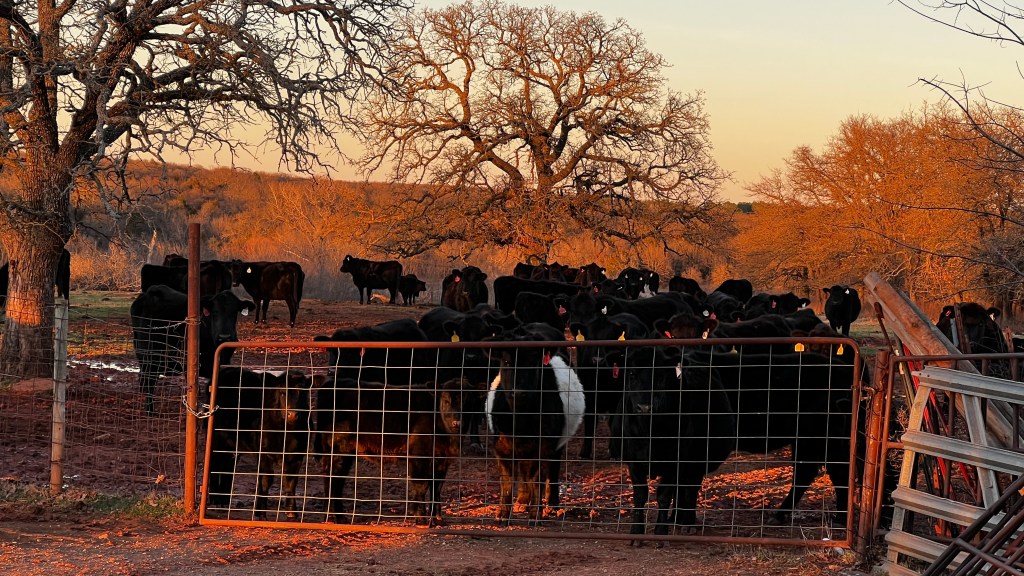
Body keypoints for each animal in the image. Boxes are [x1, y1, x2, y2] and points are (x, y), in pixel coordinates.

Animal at [130, 285, 257, 415]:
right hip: (148, 356)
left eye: (234, 312)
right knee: (149, 382)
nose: (224, 337)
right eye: (214, 312)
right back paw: (150, 411)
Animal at [206, 367, 320, 519]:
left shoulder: (298, 454)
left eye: (303, 393)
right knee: (215, 463)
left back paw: (224, 500)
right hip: (217, 438)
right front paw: (261, 514)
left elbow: (290, 480)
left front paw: (291, 511)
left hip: (233, 444)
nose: (292, 414)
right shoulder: (264, 451)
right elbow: (266, 480)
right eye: (282, 392)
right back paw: (216, 500)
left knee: (228, 466)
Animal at [315, 377, 467, 525]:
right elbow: (421, 485)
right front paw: (421, 520)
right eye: (445, 401)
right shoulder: (419, 457)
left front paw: (437, 519)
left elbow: (436, 488)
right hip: (337, 449)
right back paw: (334, 518)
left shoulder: (442, 461)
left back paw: (335, 517)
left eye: (467, 402)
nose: (457, 423)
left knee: (337, 478)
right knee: (332, 478)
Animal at [485, 338, 585, 525]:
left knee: (551, 470)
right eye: (507, 362)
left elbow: (536, 479)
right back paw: (522, 500)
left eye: (533, 363)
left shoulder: (544, 445)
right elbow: (507, 481)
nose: (518, 392)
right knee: (524, 471)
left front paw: (535, 515)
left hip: (557, 444)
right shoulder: (500, 446)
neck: (520, 422)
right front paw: (503, 515)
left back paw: (551, 503)